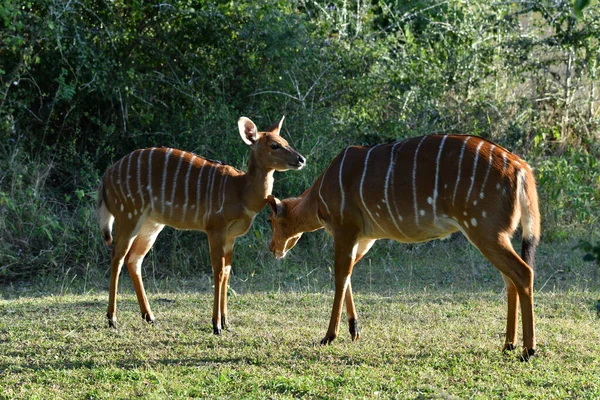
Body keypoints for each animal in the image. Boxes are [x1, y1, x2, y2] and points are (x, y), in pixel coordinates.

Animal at [99, 116, 308, 334]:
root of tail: (106, 176)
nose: (301, 159)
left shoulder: (231, 236)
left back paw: (150, 317)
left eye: (285, 140)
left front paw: (227, 323)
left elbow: (227, 271)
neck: (241, 192)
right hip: (128, 215)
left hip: (151, 224)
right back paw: (112, 319)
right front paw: (216, 325)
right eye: (274, 145)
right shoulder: (215, 228)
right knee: (117, 256)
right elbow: (218, 271)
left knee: (134, 259)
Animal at [268, 134, 540, 360]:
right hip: (496, 234)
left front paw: (329, 336)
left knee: (523, 272)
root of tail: (520, 167)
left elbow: (340, 276)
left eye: (271, 220)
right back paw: (508, 345)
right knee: (510, 280)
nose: (273, 249)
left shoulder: (346, 228)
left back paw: (528, 350)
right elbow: (348, 275)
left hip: (484, 230)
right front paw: (354, 330)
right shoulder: (365, 237)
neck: (319, 196)